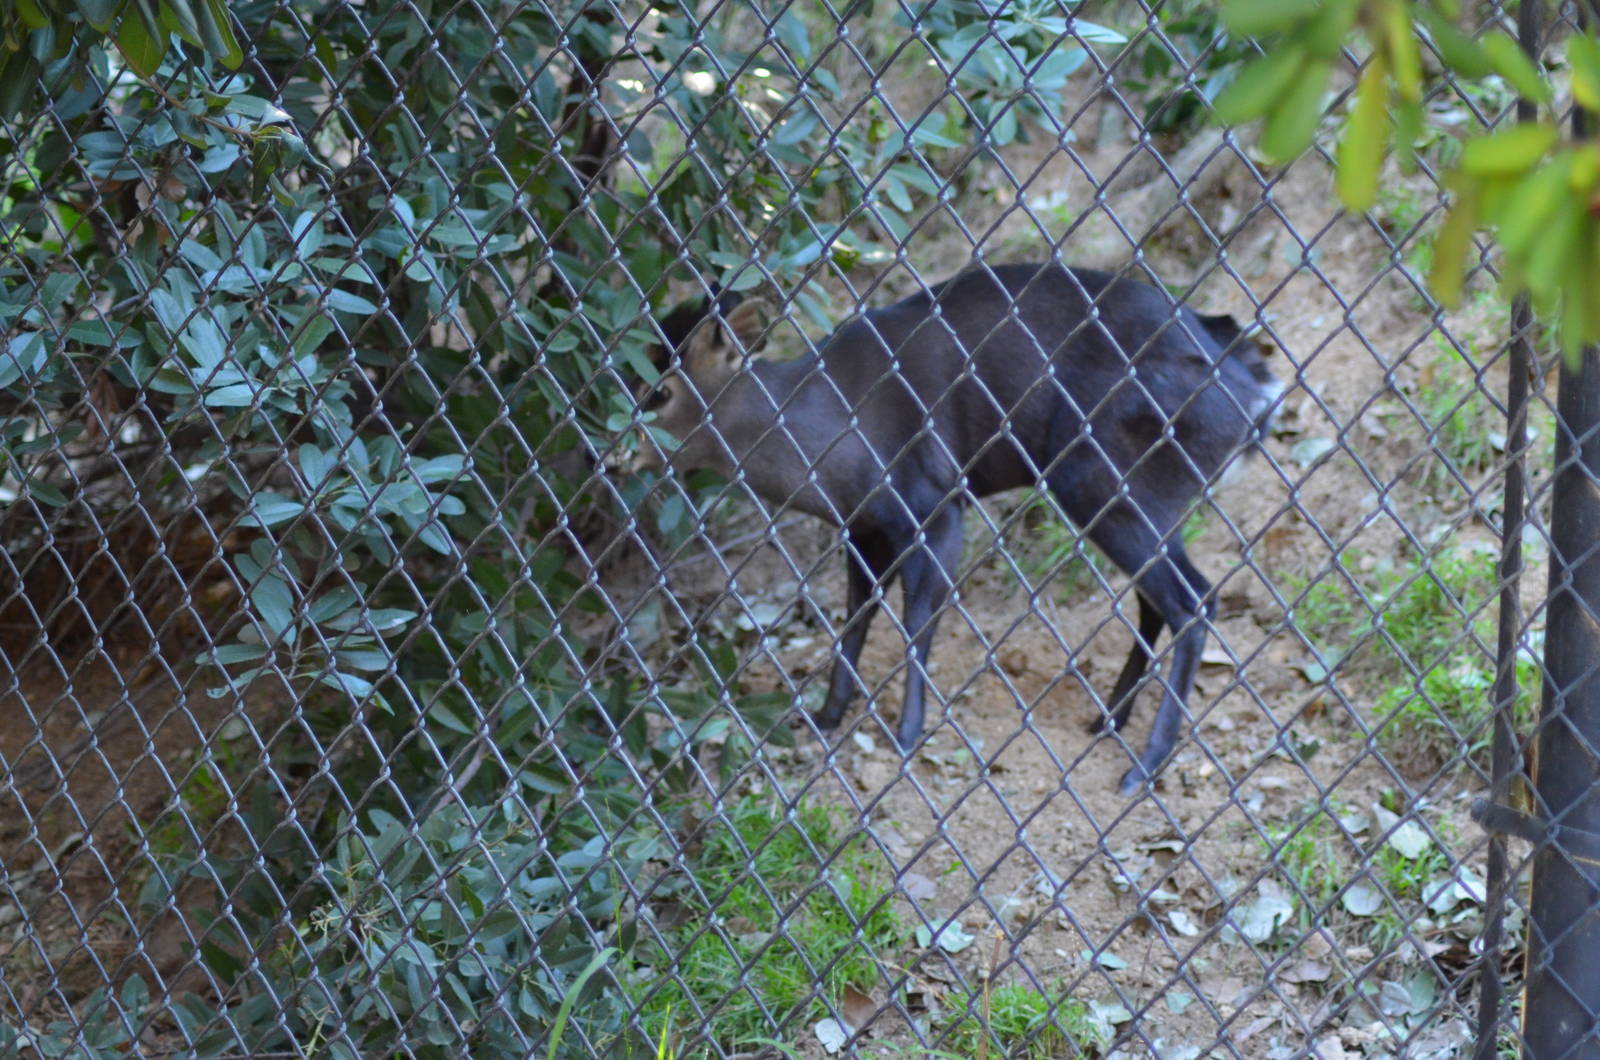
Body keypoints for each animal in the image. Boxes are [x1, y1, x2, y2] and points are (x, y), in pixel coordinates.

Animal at [625, 262, 1279, 794]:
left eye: (659, 392)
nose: (612, 456)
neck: (826, 431)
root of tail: (1256, 397)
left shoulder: (933, 502)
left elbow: (918, 618)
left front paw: (906, 733)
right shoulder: (863, 527)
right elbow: (856, 616)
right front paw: (825, 715)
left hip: (1104, 476)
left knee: (1193, 599)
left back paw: (1144, 765)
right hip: (1140, 497)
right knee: (1158, 599)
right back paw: (1107, 720)